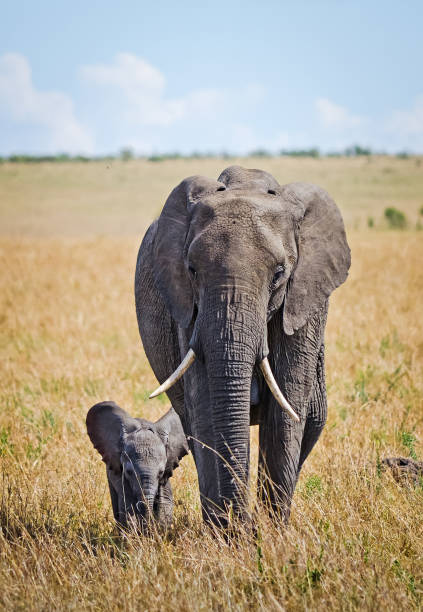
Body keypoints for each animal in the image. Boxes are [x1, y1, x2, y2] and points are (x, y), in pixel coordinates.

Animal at [134, 166, 350, 524]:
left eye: (279, 274)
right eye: (192, 270)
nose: (242, 524)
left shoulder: (304, 301)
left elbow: (286, 407)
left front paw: (272, 532)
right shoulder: (187, 309)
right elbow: (206, 406)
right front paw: (229, 532)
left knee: (312, 419)